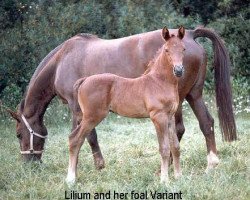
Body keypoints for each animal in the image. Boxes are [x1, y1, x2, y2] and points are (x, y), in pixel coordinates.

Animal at [66, 26, 186, 184]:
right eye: (166, 50)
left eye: (183, 49)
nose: (178, 70)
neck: (159, 81)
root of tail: (84, 80)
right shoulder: (158, 117)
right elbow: (164, 149)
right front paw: (164, 181)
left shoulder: (170, 117)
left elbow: (175, 147)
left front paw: (179, 177)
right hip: (92, 117)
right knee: (75, 140)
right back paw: (70, 179)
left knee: (74, 138)